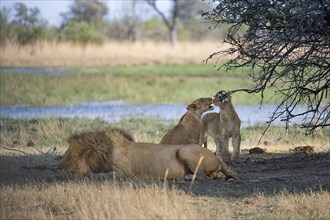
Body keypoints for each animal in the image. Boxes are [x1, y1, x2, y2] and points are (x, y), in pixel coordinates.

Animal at [58, 128, 236, 180]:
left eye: (68, 155)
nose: (59, 166)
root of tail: (218, 158)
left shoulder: (125, 172)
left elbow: (106, 174)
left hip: (184, 150)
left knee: (206, 175)